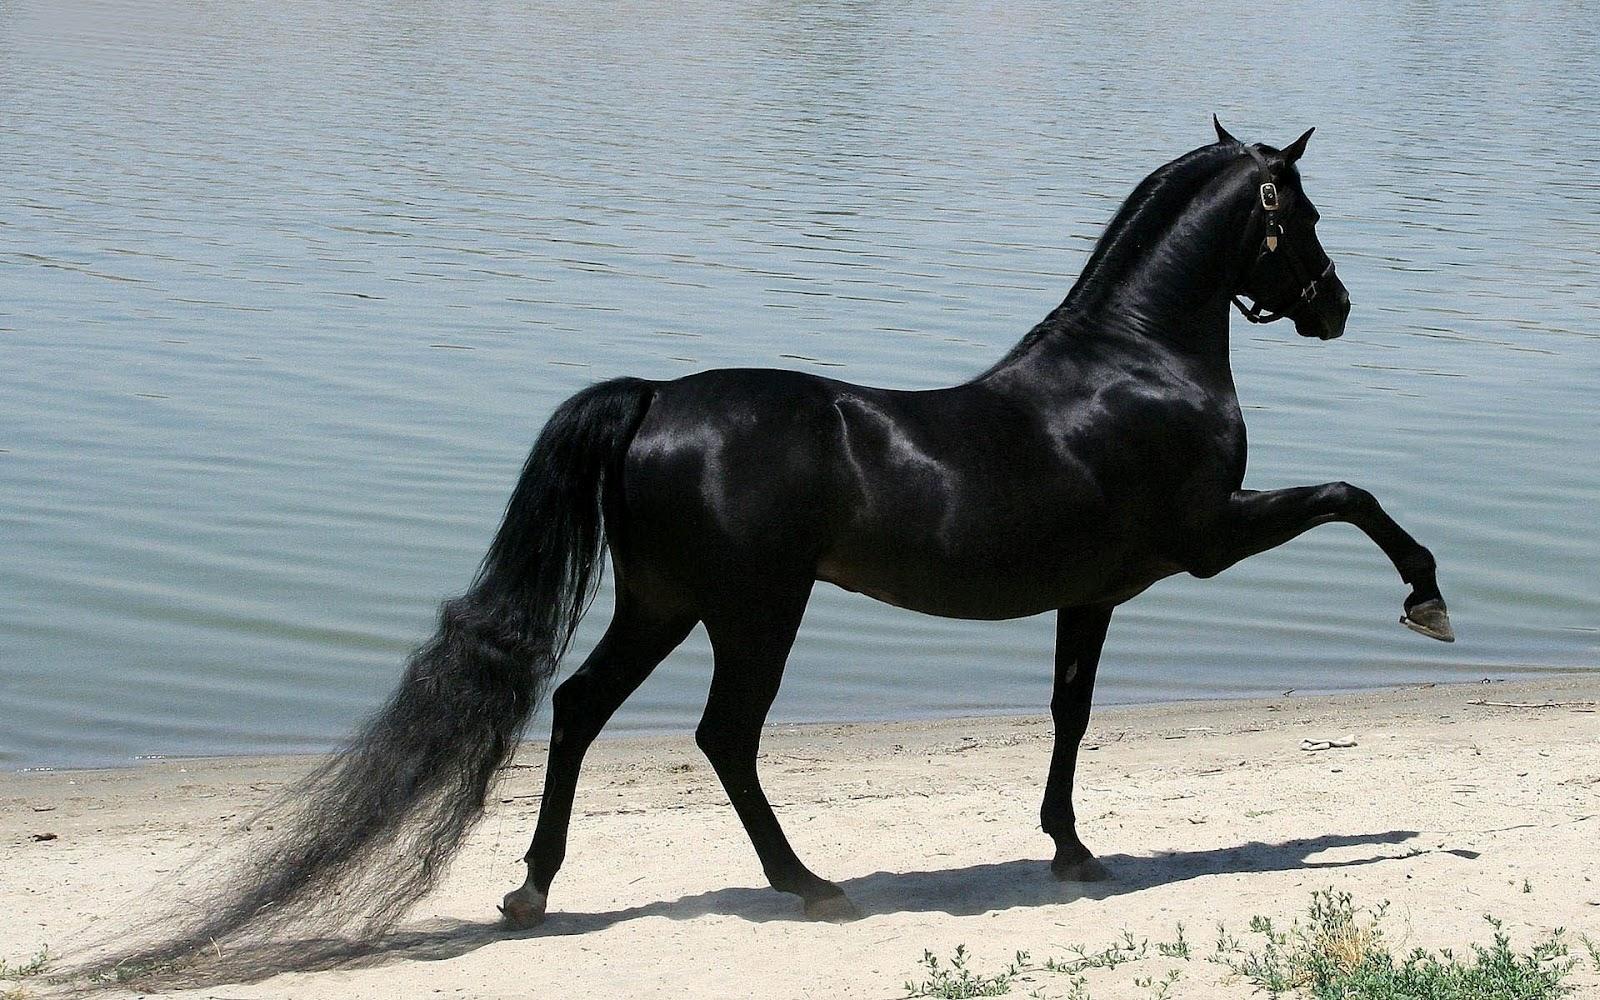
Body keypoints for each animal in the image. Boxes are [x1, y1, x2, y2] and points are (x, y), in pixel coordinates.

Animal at [99, 120, 1452, 975]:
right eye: (1302, 212)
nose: (1334, 305)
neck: (1132, 363)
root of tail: (653, 398)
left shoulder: (1097, 594)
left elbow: (1068, 712)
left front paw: (1070, 849)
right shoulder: (1205, 538)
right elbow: (1352, 493)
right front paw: (1427, 600)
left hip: (663, 604)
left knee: (581, 709)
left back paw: (534, 888)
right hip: (754, 609)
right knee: (721, 737)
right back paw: (806, 885)